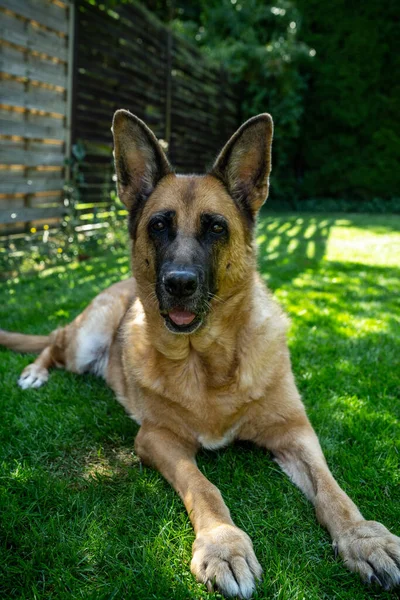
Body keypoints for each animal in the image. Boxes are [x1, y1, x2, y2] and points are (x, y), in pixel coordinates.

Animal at [0, 111, 400, 596]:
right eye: (158, 225)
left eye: (215, 227)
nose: (178, 284)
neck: (208, 364)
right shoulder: (156, 438)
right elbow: (203, 486)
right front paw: (223, 545)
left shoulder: (295, 431)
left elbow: (332, 490)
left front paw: (364, 538)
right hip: (84, 341)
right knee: (54, 341)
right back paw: (35, 373)